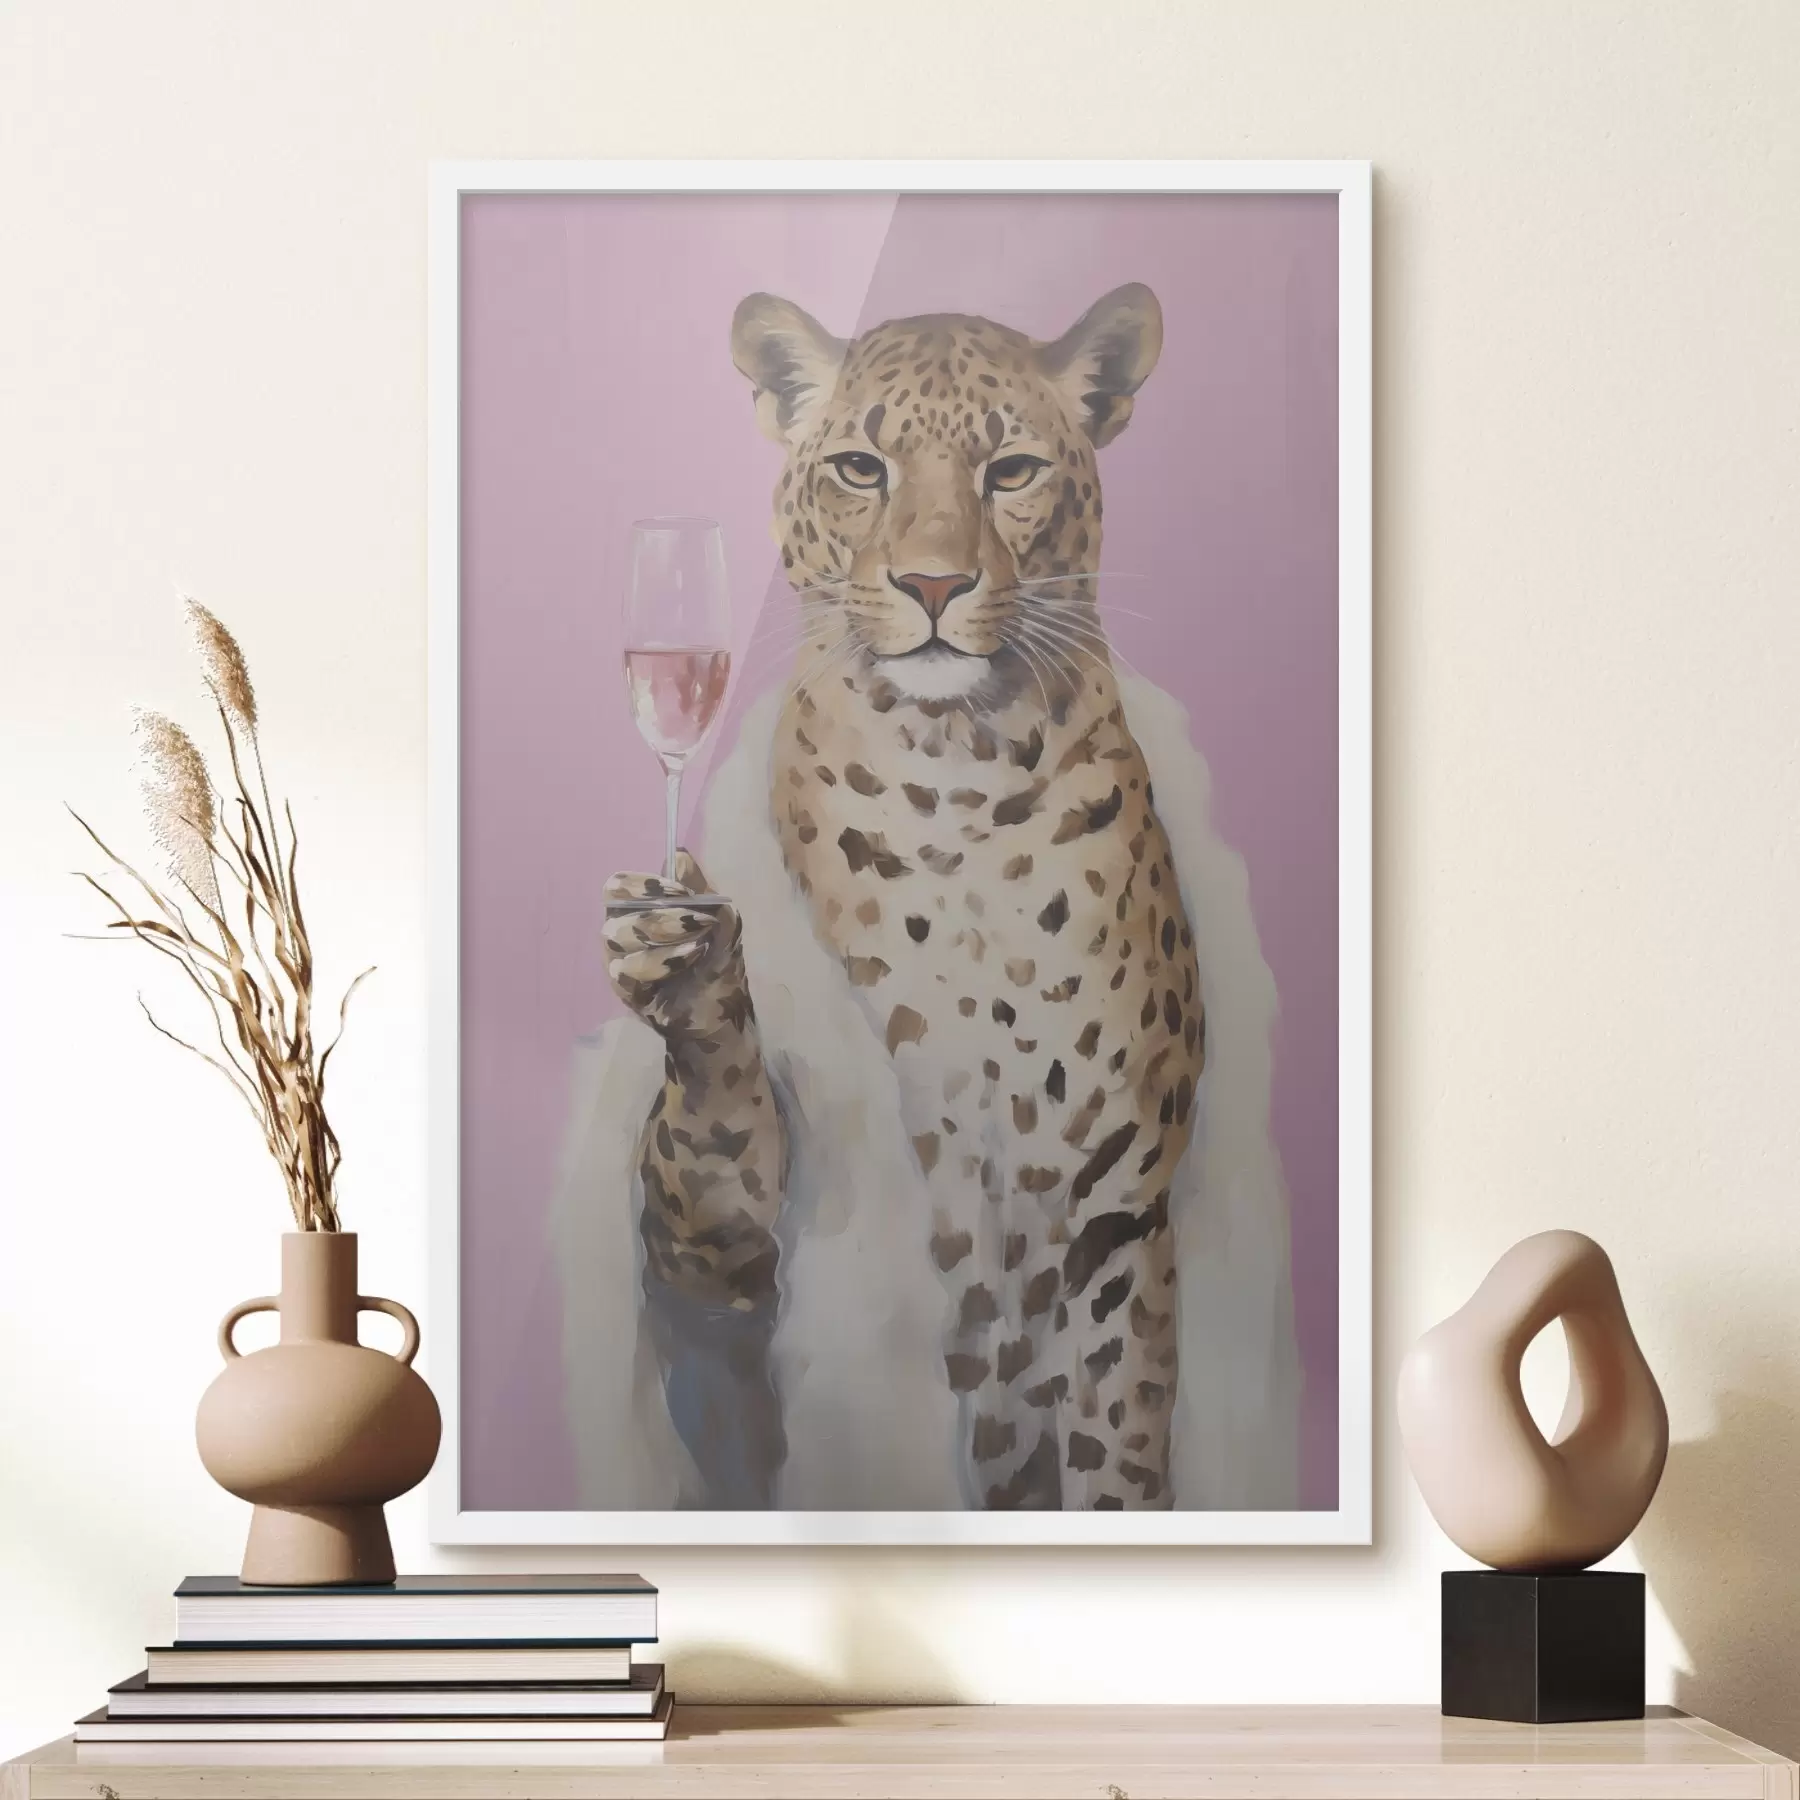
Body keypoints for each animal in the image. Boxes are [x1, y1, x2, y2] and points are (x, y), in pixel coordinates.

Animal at [603, 282, 1205, 1510]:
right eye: (861, 468)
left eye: (1011, 470)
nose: (933, 584)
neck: (957, 779)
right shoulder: (728, 1242)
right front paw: (686, 968)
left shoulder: (1117, 1216)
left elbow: (1117, 1452)